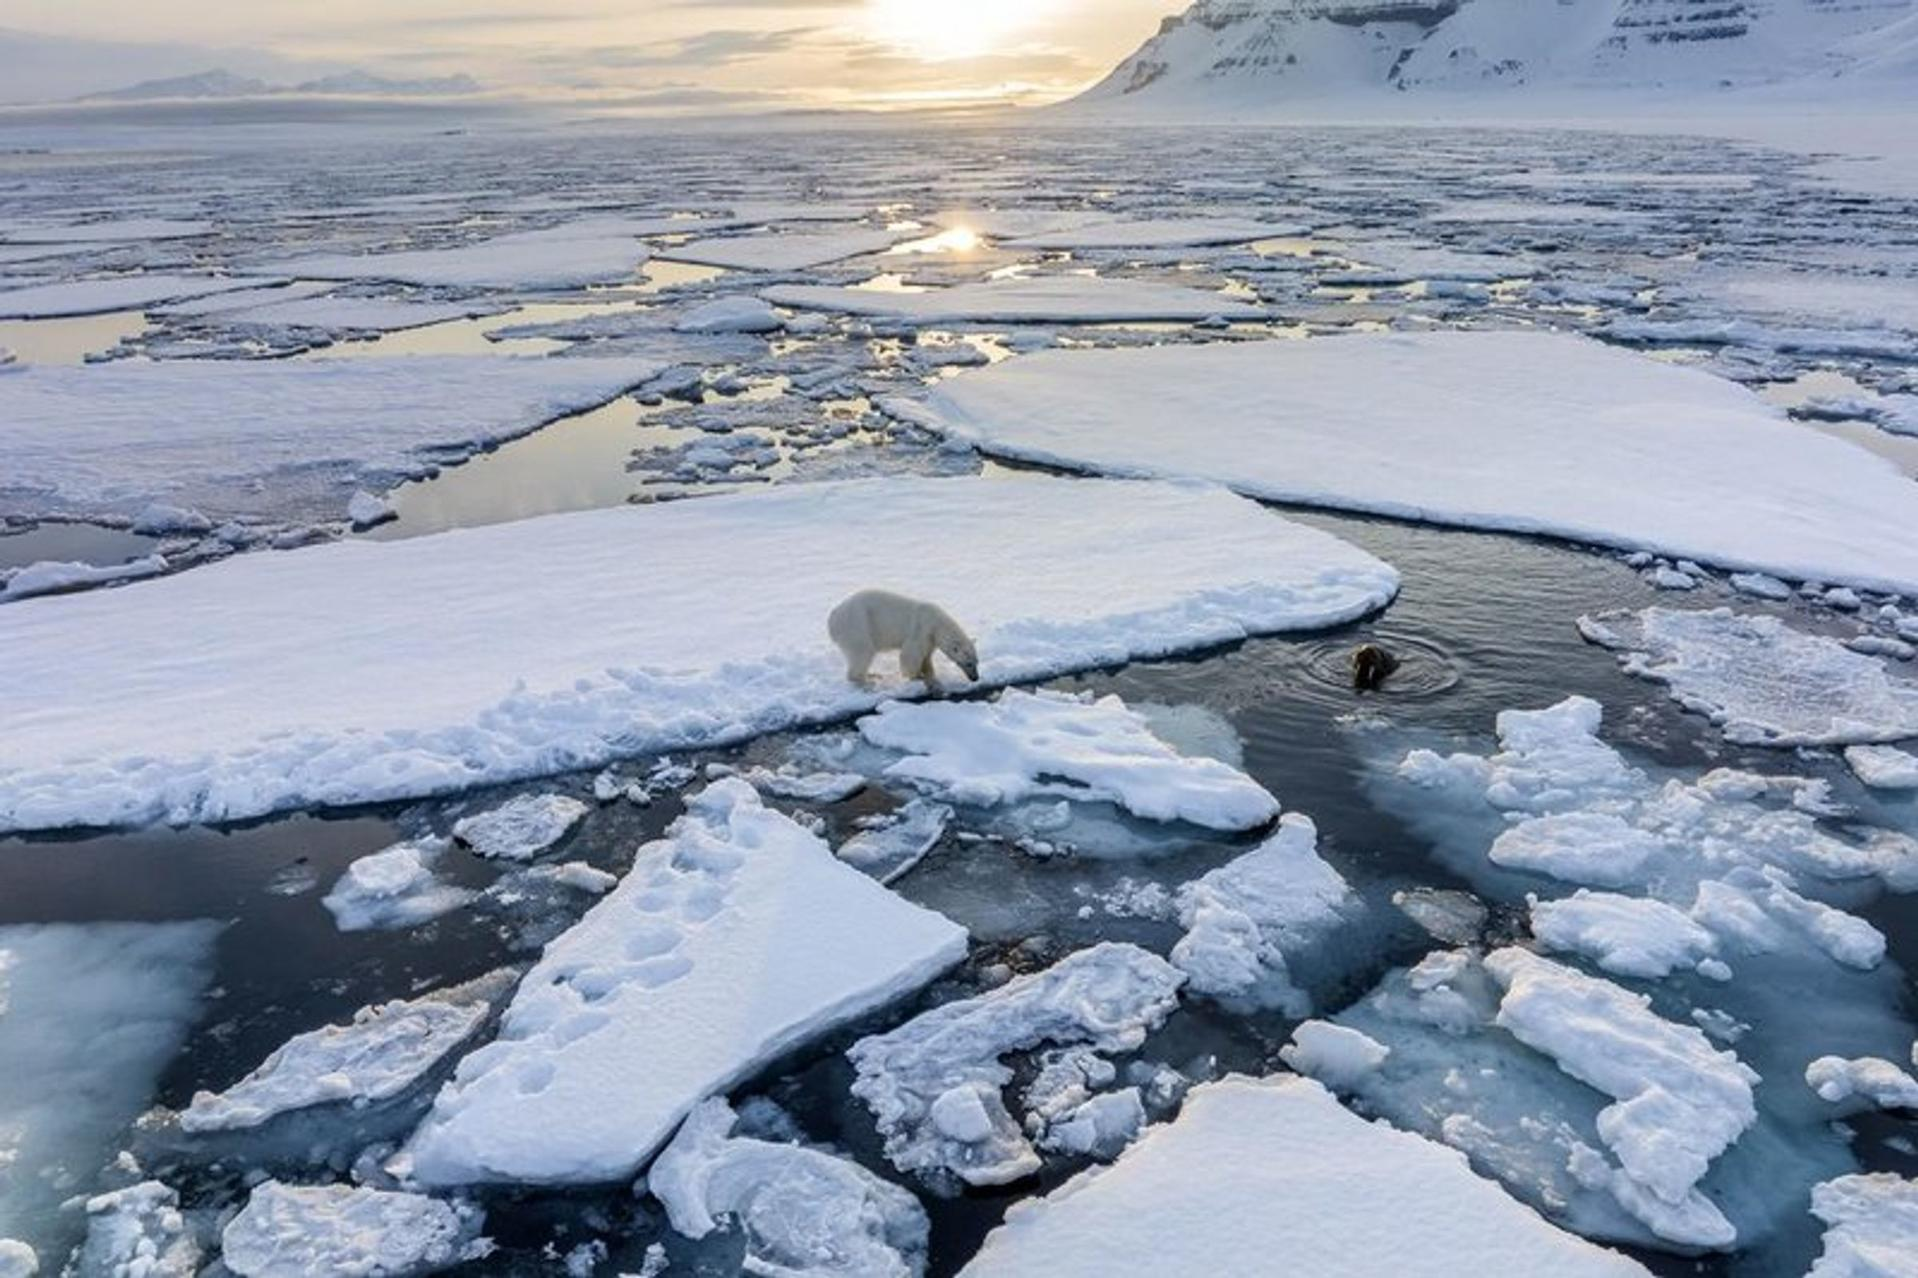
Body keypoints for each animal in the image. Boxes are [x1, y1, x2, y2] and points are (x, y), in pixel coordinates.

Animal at [829, 589, 980, 690]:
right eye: (968, 663)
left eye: (976, 662)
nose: (975, 678)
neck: (936, 624)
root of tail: (833, 617)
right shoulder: (920, 631)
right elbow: (910, 655)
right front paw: (917, 677)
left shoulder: (930, 640)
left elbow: (926, 657)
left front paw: (931, 676)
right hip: (858, 626)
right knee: (863, 652)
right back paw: (867, 681)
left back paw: (871, 675)